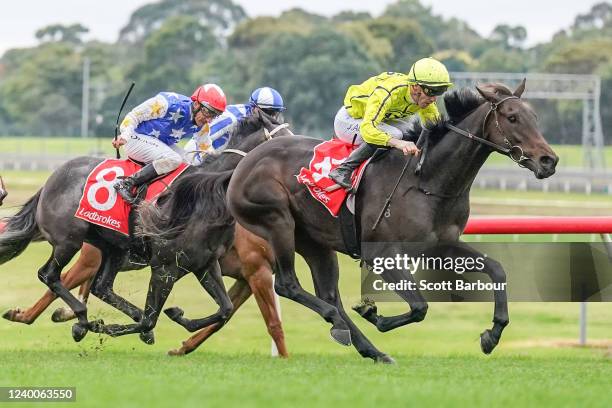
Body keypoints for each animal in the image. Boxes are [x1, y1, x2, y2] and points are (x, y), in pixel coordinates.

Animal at [226, 81, 560, 362]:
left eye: (534, 117)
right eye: (512, 117)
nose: (549, 161)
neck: (427, 180)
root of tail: (246, 160)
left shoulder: (441, 246)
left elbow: (496, 269)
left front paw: (492, 334)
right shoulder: (380, 254)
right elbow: (419, 306)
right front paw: (375, 315)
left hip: (315, 242)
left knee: (329, 295)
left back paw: (367, 347)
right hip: (278, 222)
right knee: (288, 284)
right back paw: (342, 326)